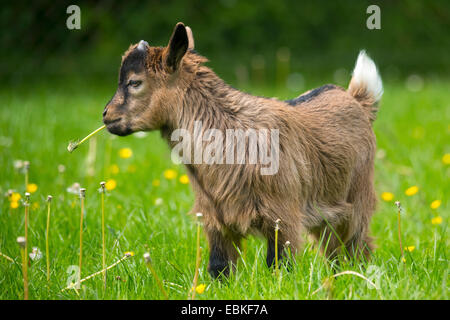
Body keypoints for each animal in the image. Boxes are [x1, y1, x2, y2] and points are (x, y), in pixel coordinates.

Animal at [103, 21, 384, 278]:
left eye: (134, 82)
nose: (106, 115)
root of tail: (356, 98)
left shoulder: (283, 215)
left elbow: (279, 265)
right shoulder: (215, 217)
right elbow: (219, 267)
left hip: (358, 196)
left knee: (358, 244)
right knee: (333, 248)